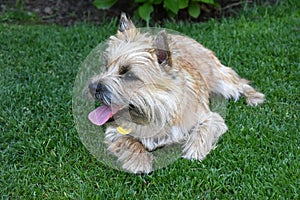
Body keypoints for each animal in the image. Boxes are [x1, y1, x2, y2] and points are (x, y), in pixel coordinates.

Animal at [85, 13, 264, 173]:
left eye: (128, 74)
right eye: (106, 67)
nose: (92, 87)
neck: (159, 110)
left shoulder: (210, 118)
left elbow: (203, 131)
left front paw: (194, 152)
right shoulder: (115, 132)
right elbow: (130, 142)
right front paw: (140, 162)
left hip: (219, 79)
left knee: (238, 82)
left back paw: (254, 97)